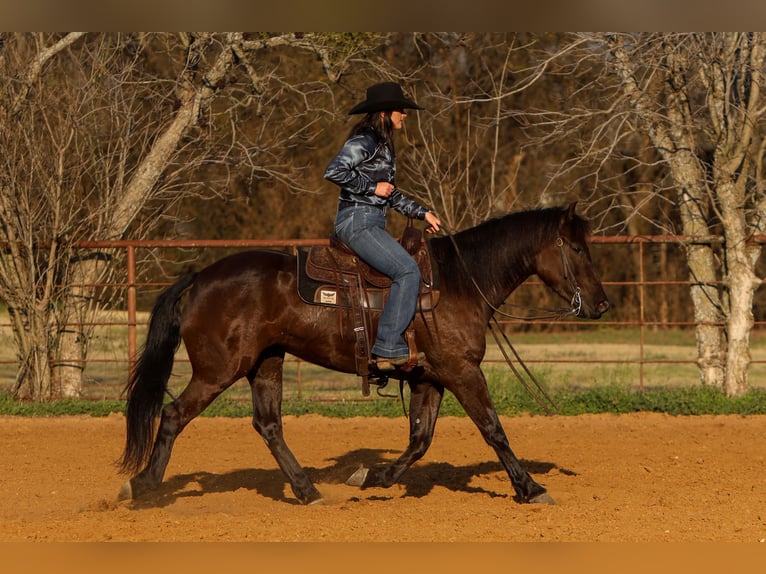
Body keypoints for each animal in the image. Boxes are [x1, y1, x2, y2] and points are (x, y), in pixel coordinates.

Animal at [120, 204, 612, 508]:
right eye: (576, 247)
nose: (603, 304)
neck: (458, 281)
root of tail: (200, 276)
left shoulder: (429, 377)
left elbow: (419, 440)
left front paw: (372, 477)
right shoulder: (461, 371)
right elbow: (493, 429)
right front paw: (531, 488)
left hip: (266, 363)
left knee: (269, 426)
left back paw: (308, 491)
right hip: (218, 370)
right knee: (173, 414)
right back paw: (143, 487)